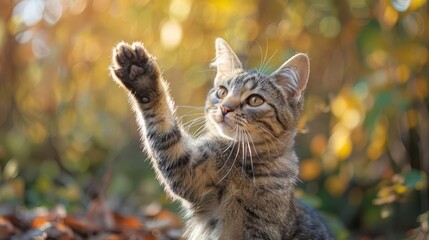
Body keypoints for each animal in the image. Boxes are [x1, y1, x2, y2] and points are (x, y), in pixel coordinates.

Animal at [108, 38, 332, 239]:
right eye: (222, 92)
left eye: (255, 100)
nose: (225, 107)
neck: (241, 160)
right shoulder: (189, 172)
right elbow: (163, 127)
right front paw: (141, 77)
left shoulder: (261, 227)